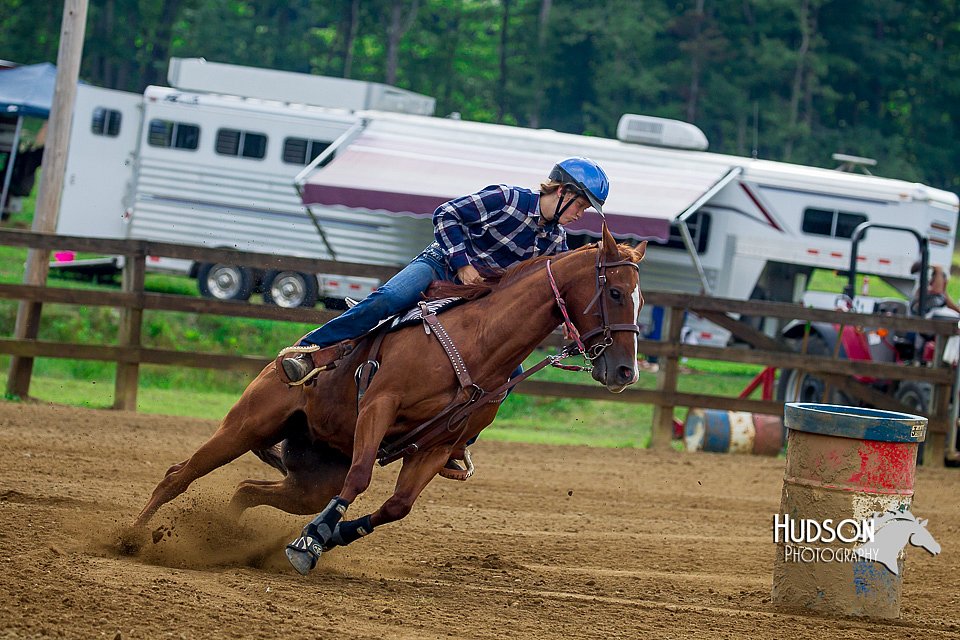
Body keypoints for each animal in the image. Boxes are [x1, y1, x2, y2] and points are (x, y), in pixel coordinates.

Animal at [133, 225, 644, 576]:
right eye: (616, 291)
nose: (625, 372)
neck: (478, 341)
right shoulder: (380, 405)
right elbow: (361, 477)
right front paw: (307, 544)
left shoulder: (436, 447)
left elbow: (397, 507)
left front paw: (328, 535)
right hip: (248, 424)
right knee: (179, 474)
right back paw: (133, 538)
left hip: (311, 477)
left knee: (246, 490)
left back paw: (224, 538)